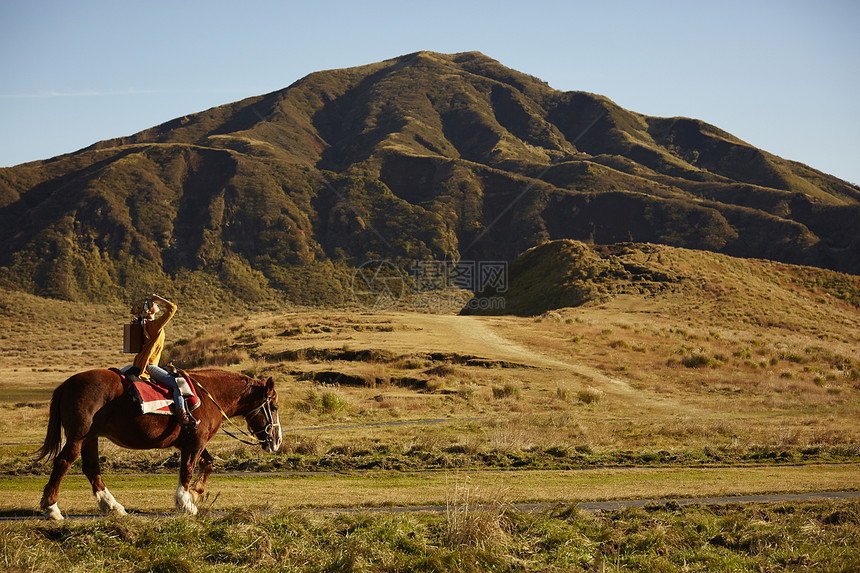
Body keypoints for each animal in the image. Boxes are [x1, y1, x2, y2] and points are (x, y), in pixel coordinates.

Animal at [35, 366, 280, 520]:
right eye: (274, 407)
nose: (276, 441)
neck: (210, 395)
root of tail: (66, 385)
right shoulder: (195, 442)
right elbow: (187, 469)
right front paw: (185, 503)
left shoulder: (192, 442)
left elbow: (208, 464)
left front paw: (194, 494)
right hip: (78, 437)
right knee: (63, 463)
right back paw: (52, 508)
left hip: (90, 438)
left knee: (91, 468)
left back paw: (112, 506)